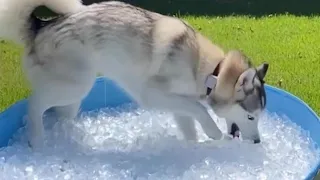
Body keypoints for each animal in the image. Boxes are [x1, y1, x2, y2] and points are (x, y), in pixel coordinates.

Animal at [0, 0, 268, 150]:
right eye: (251, 117)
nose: (257, 142)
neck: (212, 71)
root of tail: (42, 26)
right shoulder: (153, 94)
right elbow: (199, 109)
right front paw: (213, 132)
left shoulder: (178, 103)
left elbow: (189, 122)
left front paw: (194, 147)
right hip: (76, 85)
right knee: (35, 103)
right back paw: (37, 140)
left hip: (73, 94)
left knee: (59, 113)